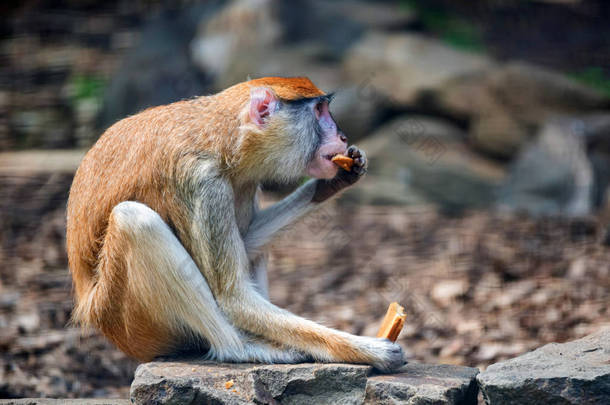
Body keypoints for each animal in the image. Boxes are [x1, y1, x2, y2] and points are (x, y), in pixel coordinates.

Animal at [66, 76, 404, 370]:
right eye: (320, 111)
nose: (343, 136)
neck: (226, 138)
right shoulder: (203, 183)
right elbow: (233, 298)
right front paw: (370, 350)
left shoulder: (244, 180)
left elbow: (248, 245)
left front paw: (334, 182)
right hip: (125, 315)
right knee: (134, 220)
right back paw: (241, 348)